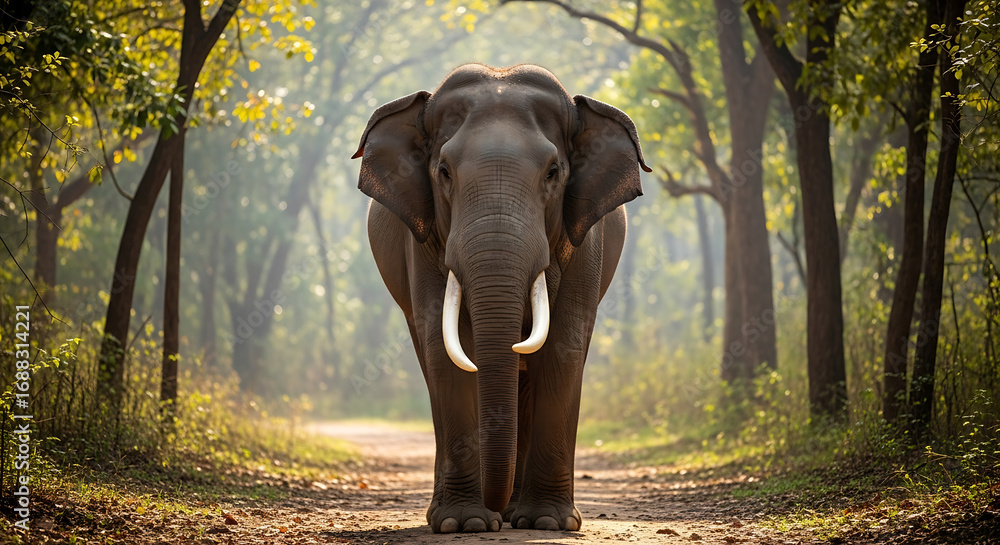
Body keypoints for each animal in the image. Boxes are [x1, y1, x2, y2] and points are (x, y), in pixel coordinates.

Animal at [353, 63, 650, 534]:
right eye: (444, 171)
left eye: (553, 171)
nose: (493, 510)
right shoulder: (421, 239)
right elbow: (446, 350)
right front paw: (464, 523)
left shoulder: (588, 238)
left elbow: (564, 347)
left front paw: (548, 522)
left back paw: (517, 514)